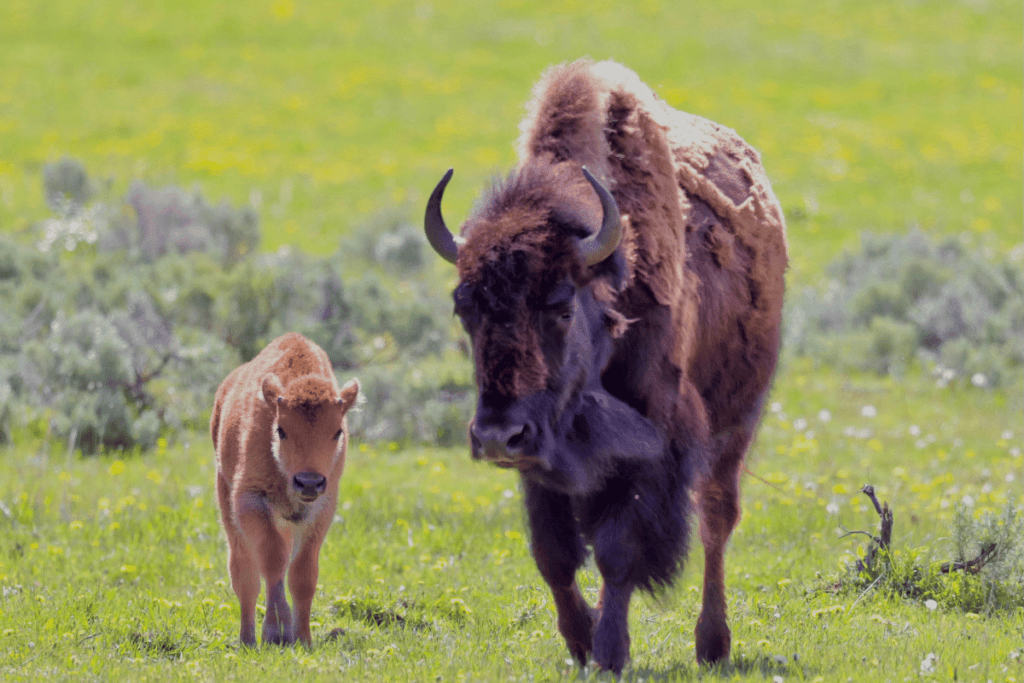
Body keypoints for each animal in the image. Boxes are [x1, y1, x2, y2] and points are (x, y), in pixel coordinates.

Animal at [207, 333, 360, 651]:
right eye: (281, 430)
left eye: (338, 431)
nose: (309, 482)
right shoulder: (249, 499)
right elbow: (272, 559)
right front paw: (277, 632)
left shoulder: (321, 509)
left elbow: (302, 574)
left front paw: (302, 638)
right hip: (226, 495)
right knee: (245, 575)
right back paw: (248, 639)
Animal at [423, 60, 782, 671]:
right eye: (463, 307)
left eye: (562, 305)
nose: (496, 435)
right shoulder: (541, 460)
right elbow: (554, 555)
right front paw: (580, 640)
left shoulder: (656, 446)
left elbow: (619, 551)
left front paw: (611, 651)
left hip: (736, 421)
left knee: (717, 517)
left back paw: (712, 644)